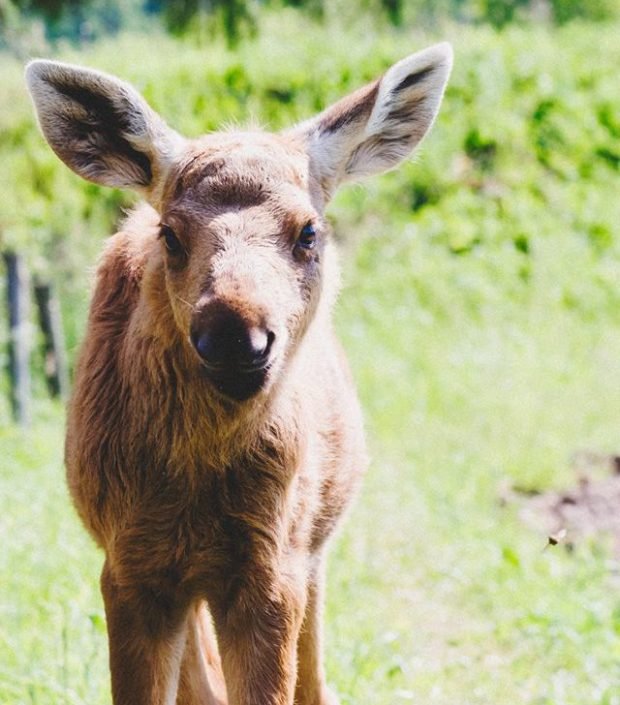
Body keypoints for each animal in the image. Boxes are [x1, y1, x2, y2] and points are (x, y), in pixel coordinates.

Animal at [25, 44, 450, 704]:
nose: (232, 333)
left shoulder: (271, 567)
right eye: (170, 234)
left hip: (311, 546)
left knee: (313, 676)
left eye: (309, 232)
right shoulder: (128, 566)